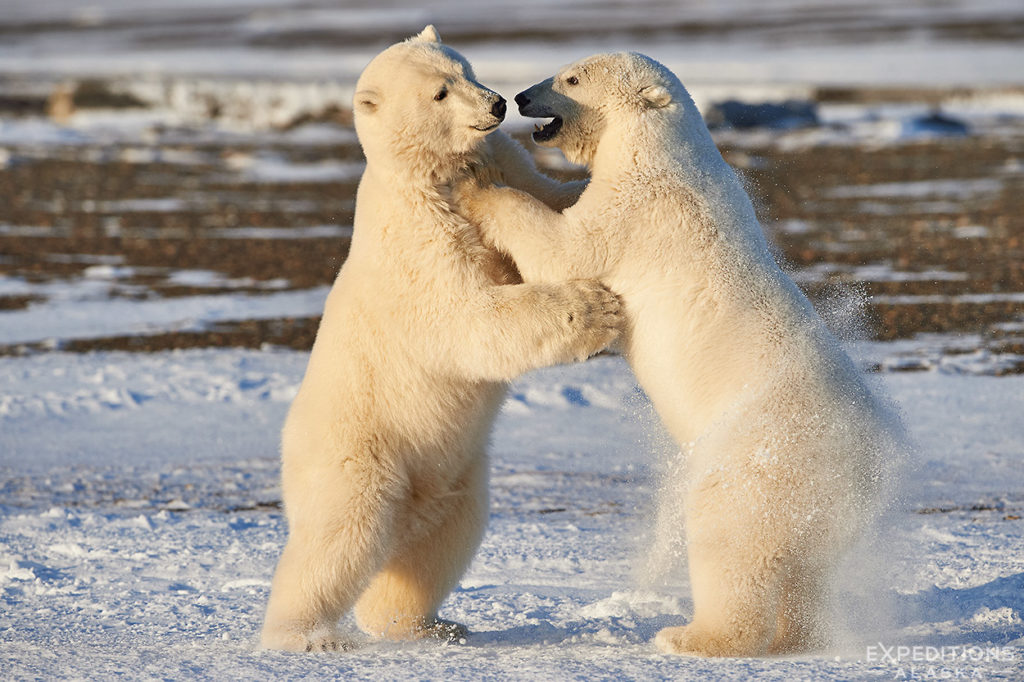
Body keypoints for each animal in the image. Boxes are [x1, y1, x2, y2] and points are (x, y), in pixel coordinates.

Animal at [258, 27, 622, 655]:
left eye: (466, 69)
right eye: (439, 93)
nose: (497, 105)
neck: (434, 174)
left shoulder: (501, 162)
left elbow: (551, 202)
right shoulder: (417, 236)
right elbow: (467, 318)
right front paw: (596, 309)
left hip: (455, 477)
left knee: (438, 547)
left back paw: (431, 624)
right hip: (360, 454)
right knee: (338, 538)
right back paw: (303, 636)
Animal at [452, 51, 901, 655]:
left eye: (572, 77)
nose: (521, 97)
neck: (661, 152)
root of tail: (869, 467)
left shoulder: (638, 210)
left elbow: (566, 249)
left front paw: (478, 182)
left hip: (760, 459)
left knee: (728, 537)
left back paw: (691, 636)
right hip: (819, 508)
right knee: (805, 566)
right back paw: (795, 637)